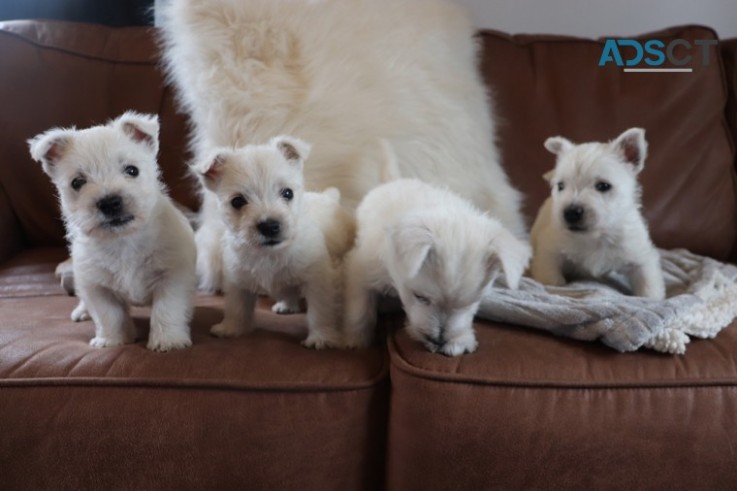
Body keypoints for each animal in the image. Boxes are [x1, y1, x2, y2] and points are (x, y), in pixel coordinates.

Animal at [28, 112, 196, 350]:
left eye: (132, 170)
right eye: (77, 182)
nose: (109, 202)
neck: (122, 240)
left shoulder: (171, 276)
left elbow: (167, 309)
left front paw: (168, 341)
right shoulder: (96, 286)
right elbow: (109, 315)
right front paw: (112, 340)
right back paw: (81, 312)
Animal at [194, 136, 356, 348]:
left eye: (288, 193)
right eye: (237, 201)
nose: (269, 226)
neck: (269, 253)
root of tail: (329, 197)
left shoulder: (318, 280)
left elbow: (320, 311)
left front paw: (321, 337)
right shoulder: (238, 281)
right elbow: (236, 307)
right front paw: (231, 328)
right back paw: (286, 305)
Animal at [528, 127, 664, 300]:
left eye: (603, 186)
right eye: (560, 186)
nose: (570, 213)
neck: (595, 237)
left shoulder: (641, 256)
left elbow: (648, 285)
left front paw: (651, 296)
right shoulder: (549, 250)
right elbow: (551, 278)